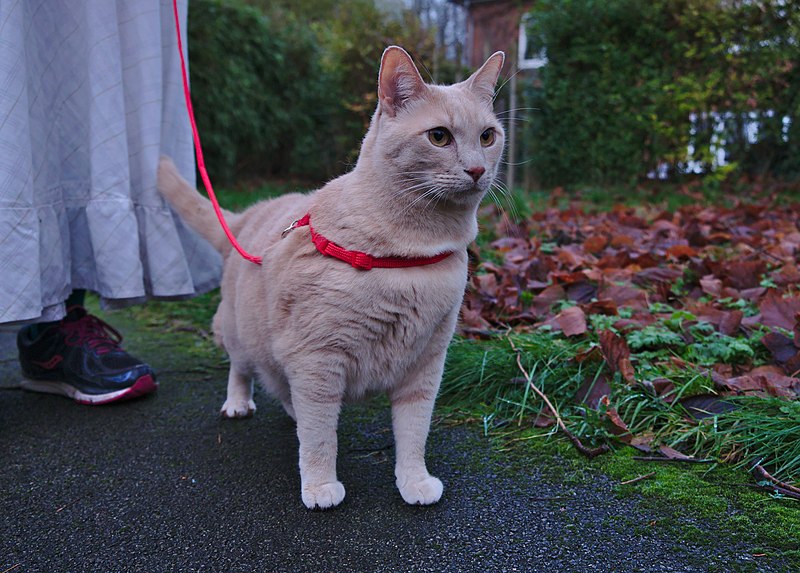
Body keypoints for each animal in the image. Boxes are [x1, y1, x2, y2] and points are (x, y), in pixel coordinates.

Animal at [157, 45, 504, 510]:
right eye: (439, 137)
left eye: (487, 137)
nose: (477, 170)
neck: (409, 257)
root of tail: (247, 213)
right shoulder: (318, 361)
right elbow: (321, 437)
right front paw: (320, 486)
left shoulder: (425, 365)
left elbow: (413, 434)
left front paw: (413, 482)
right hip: (241, 333)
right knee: (243, 370)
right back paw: (239, 403)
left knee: (284, 389)